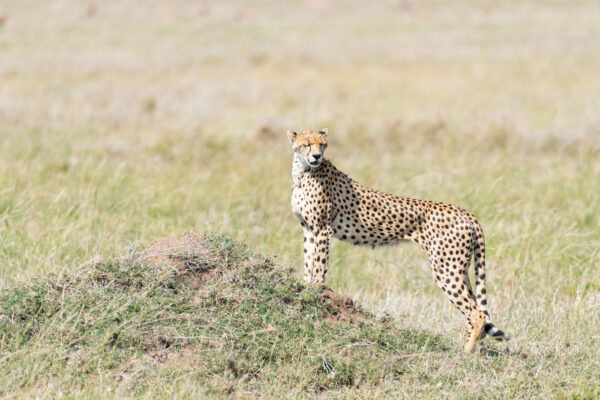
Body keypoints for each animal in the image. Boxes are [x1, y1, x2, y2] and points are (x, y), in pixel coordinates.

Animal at [288, 129, 508, 354]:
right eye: (307, 144)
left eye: (322, 144)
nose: (317, 156)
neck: (303, 172)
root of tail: (465, 212)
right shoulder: (309, 229)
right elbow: (308, 261)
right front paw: (305, 288)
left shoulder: (323, 229)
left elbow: (319, 267)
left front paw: (319, 292)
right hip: (458, 268)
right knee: (476, 309)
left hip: (446, 269)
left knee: (477, 313)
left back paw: (465, 352)